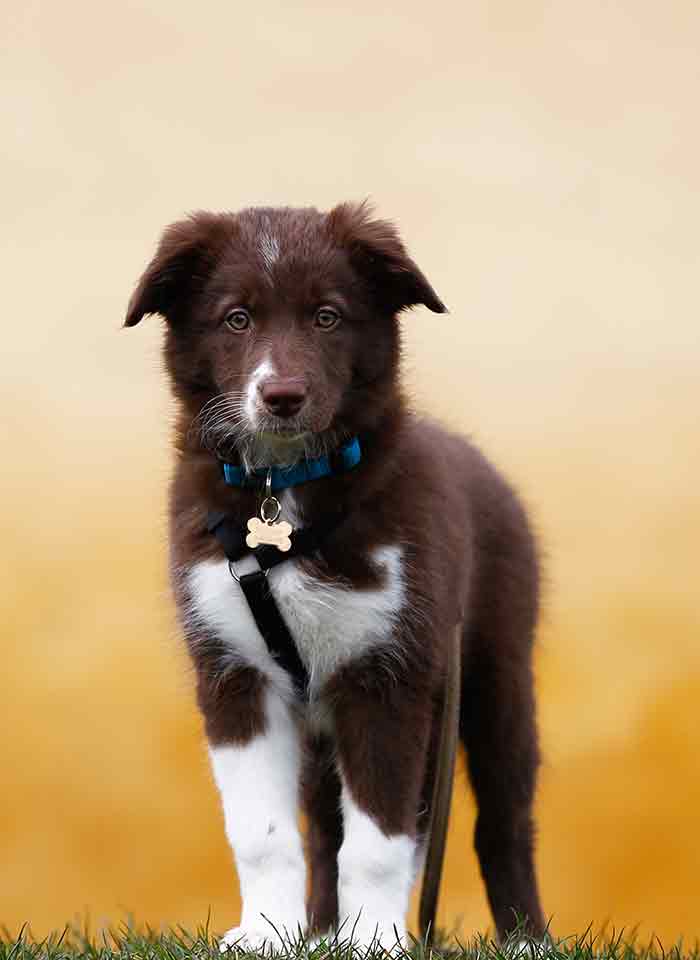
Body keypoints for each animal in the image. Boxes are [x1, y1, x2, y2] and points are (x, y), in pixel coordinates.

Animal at [129, 204, 548, 952]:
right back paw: (324, 932)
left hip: (495, 673)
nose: (283, 396)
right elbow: (263, 833)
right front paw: (268, 934)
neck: (284, 492)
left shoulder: (387, 675)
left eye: (327, 316)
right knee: (328, 828)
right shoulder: (235, 674)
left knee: (500, 820)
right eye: (236, 318)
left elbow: (379, 841)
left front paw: (377, 940)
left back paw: (526, 938)